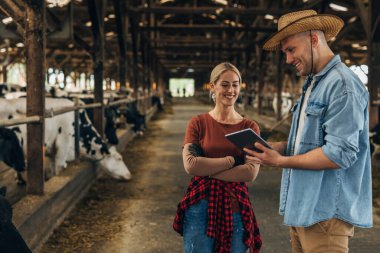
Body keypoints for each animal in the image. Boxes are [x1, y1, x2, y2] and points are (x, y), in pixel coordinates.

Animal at [0, 98, 132, 183]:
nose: (129, 175)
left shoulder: (52, 151)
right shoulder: (62, 146)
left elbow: (52, 170)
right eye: (119, 159)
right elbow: (58, 169)